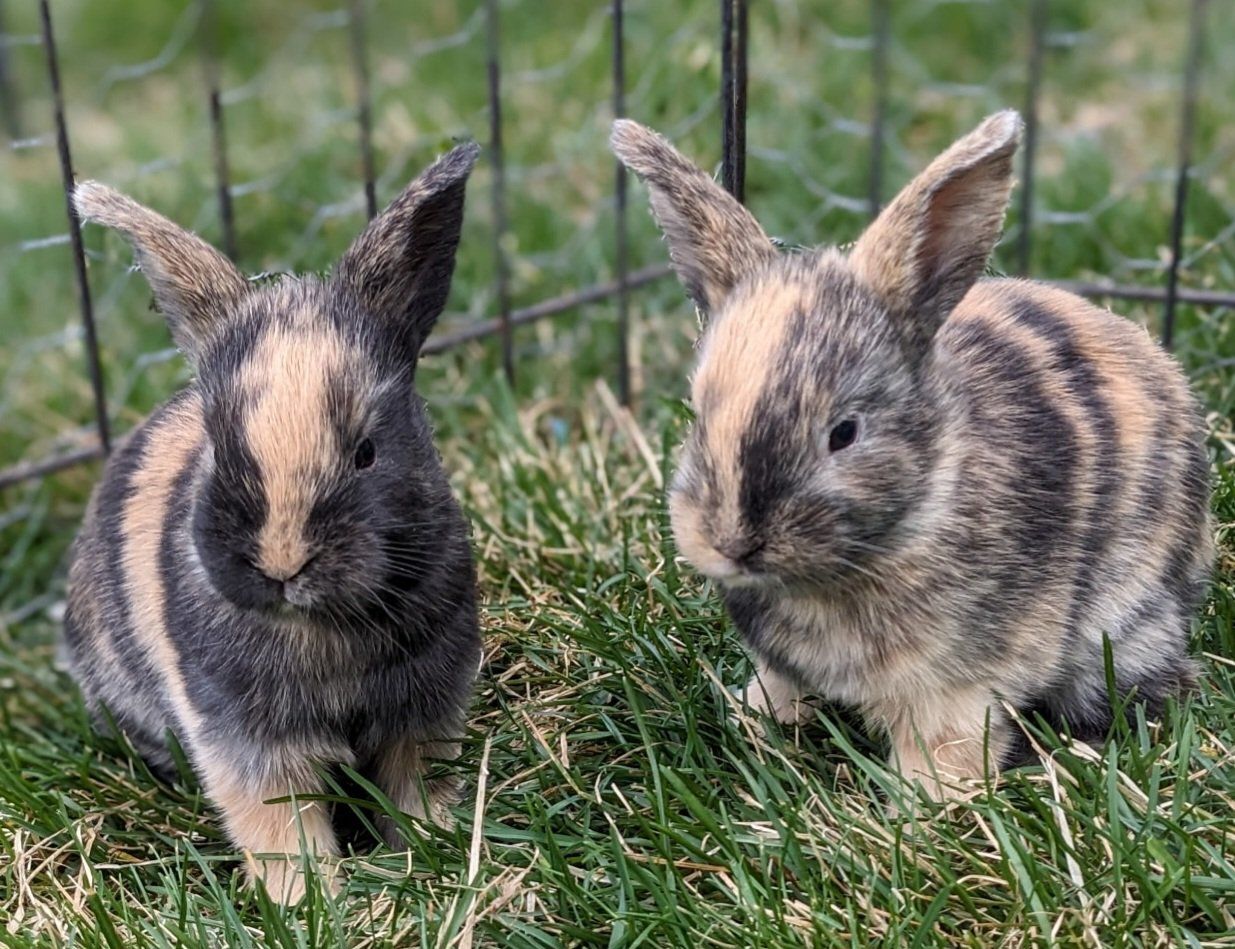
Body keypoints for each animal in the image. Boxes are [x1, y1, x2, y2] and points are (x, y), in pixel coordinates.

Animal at [62, 142, 484, 902]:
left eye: (367, 451)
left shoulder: (425, 711)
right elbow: (281, 828)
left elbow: (417, 787)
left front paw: (431, 856)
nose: (283, 564)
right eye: (219, 443)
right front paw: (309, 901)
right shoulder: (249, 744)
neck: (322, 628)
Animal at [611, 111, 1213, 801]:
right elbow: (779, 684)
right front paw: (757, 718)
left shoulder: (958, 685)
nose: (734, 544)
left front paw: (924, 803)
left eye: (844, 432)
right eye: (698, 416)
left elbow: (947, 743)